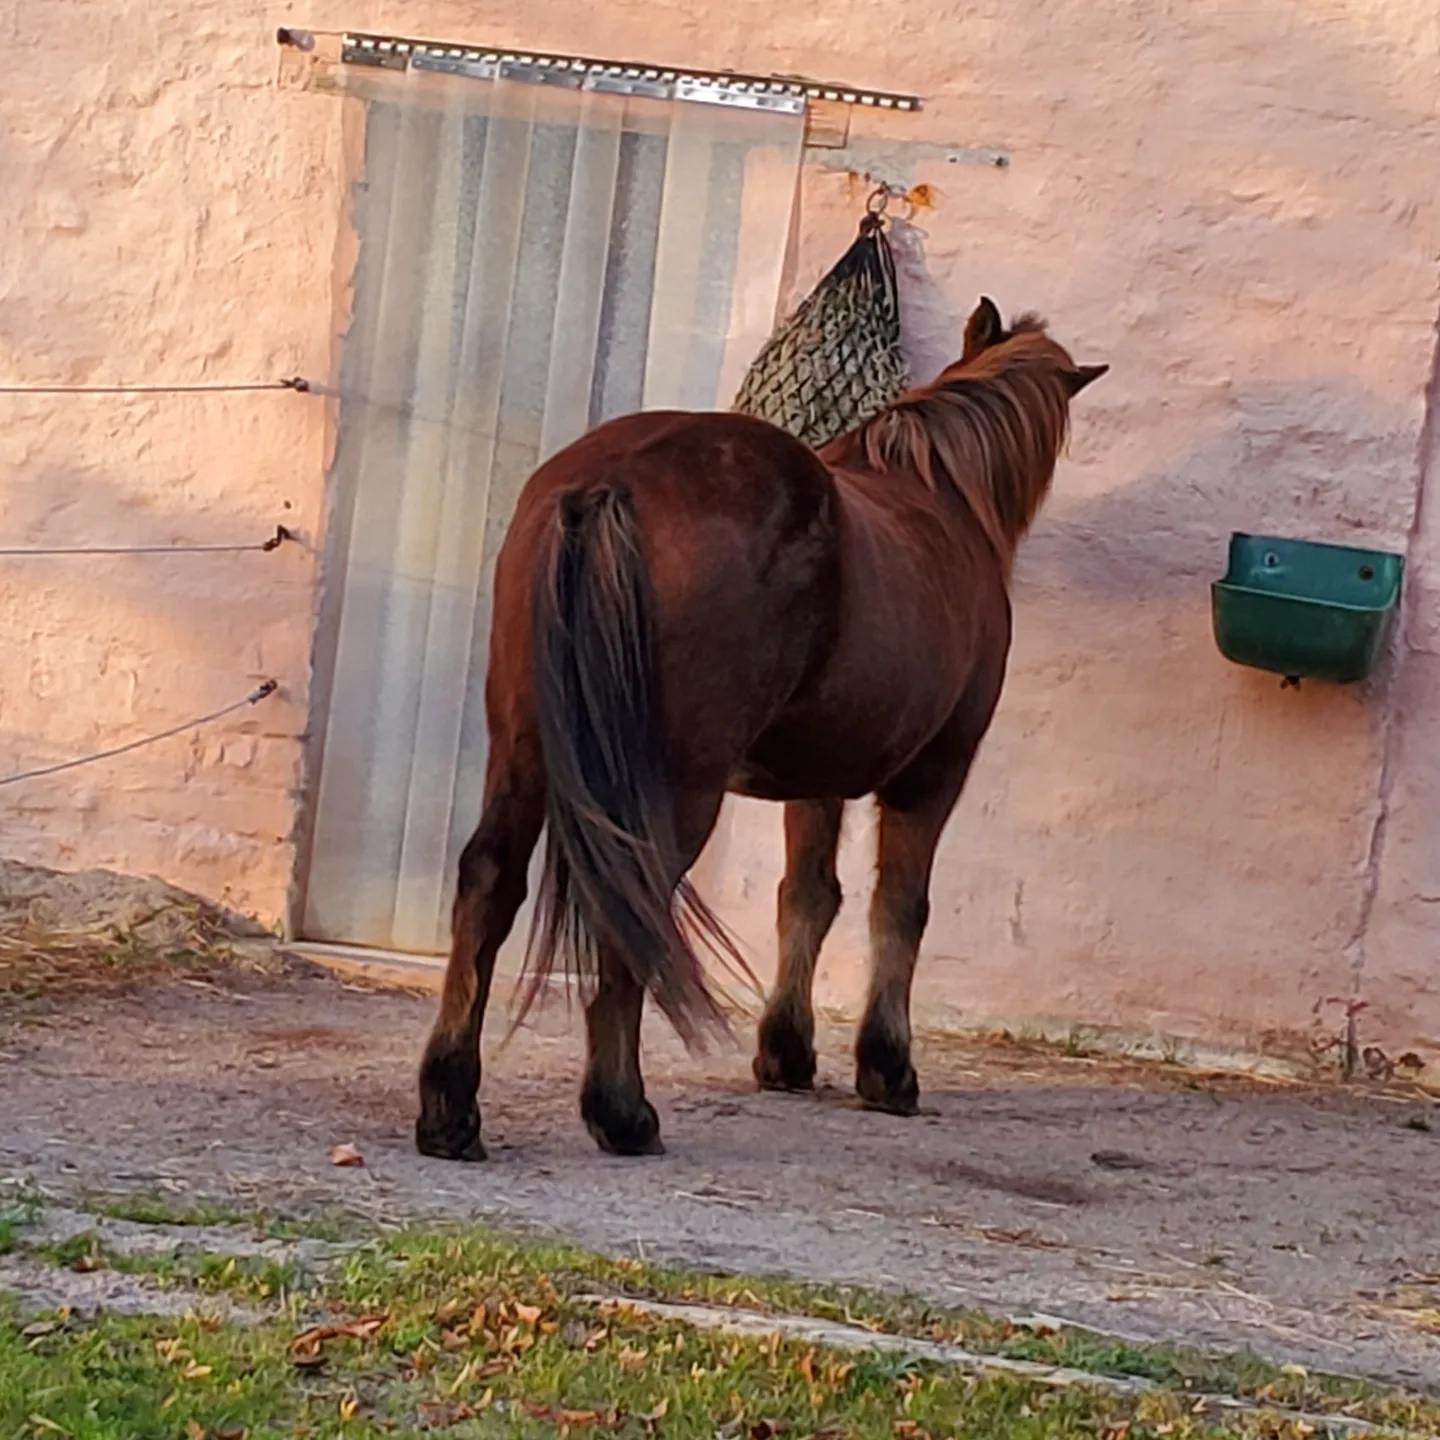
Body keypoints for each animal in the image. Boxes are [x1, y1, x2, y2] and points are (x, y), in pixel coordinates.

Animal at [414, 297, 1106, 1161]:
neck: (941, 500)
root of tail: (609, 480)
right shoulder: (933, 774)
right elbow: (899, 909)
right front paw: (888, 1070)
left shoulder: (818, 781)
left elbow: (807, 898)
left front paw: (787, 1053)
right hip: (675, 786)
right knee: (631, 911)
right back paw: (622, 1112)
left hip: (523, 750)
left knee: (489, 884)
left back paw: (450, 1107)